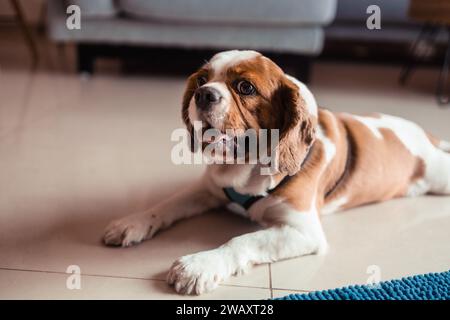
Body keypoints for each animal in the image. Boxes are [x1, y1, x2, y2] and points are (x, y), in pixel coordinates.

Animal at [103, 50, 450, 296]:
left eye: (245, 87)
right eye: (201, 80)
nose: (204, 94)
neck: (244, 166)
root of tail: (426, 134)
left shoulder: (302, 231)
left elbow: (240, 241)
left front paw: (199, 264)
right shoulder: (206, 190)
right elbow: (166, 205)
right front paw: (133, 222)